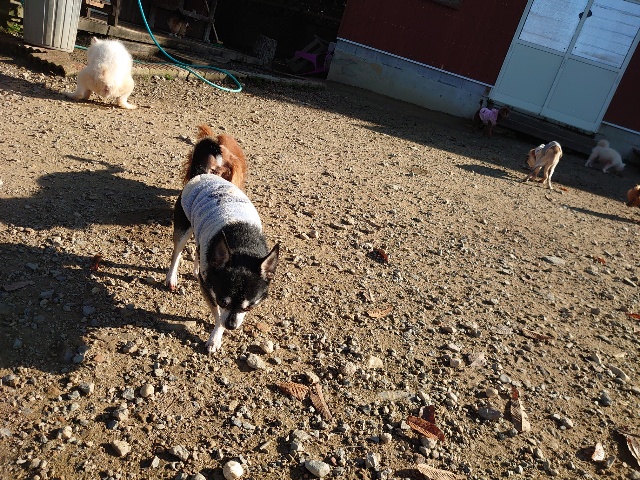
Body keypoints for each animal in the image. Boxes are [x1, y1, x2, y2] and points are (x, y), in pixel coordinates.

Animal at [165, 172, 279, 353]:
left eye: (249, 307)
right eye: (222, 302)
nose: (231, 325)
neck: (243, 246)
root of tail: (203, 174)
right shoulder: (209, 292)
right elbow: (218, 315)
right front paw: (215, 338)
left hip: (201, 235)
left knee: (198, 250)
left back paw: (196, 270)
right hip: (183, 227)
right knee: (177, 253)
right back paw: (171, 278)